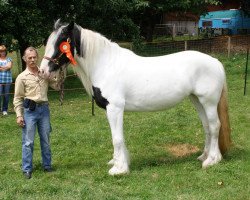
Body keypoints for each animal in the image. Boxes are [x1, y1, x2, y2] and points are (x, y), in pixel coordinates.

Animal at [39, 20, 232, 175]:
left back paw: (212, 160)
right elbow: (119, 136)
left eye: (61, 41)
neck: (106, 65)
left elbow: (116, 138)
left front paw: (119, 169)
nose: (43, 71)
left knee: (215, 126)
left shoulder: (115, 108)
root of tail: (216, 63)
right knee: (207, 127)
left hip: (208, 102)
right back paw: (204, 156)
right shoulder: (113, 110)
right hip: (197, 100)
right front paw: (119, 161)